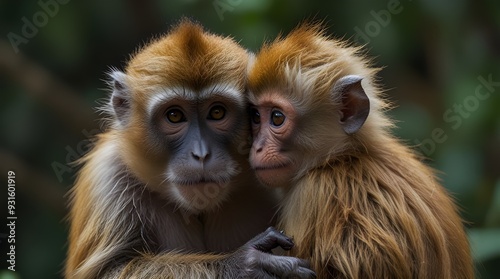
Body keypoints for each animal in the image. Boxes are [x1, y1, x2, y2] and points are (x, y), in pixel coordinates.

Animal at [64, 20, 314, 279]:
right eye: (174, 115)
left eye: (217, 112)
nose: (201, 154)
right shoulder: (108, 176)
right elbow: (111, 270)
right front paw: (241, 265)